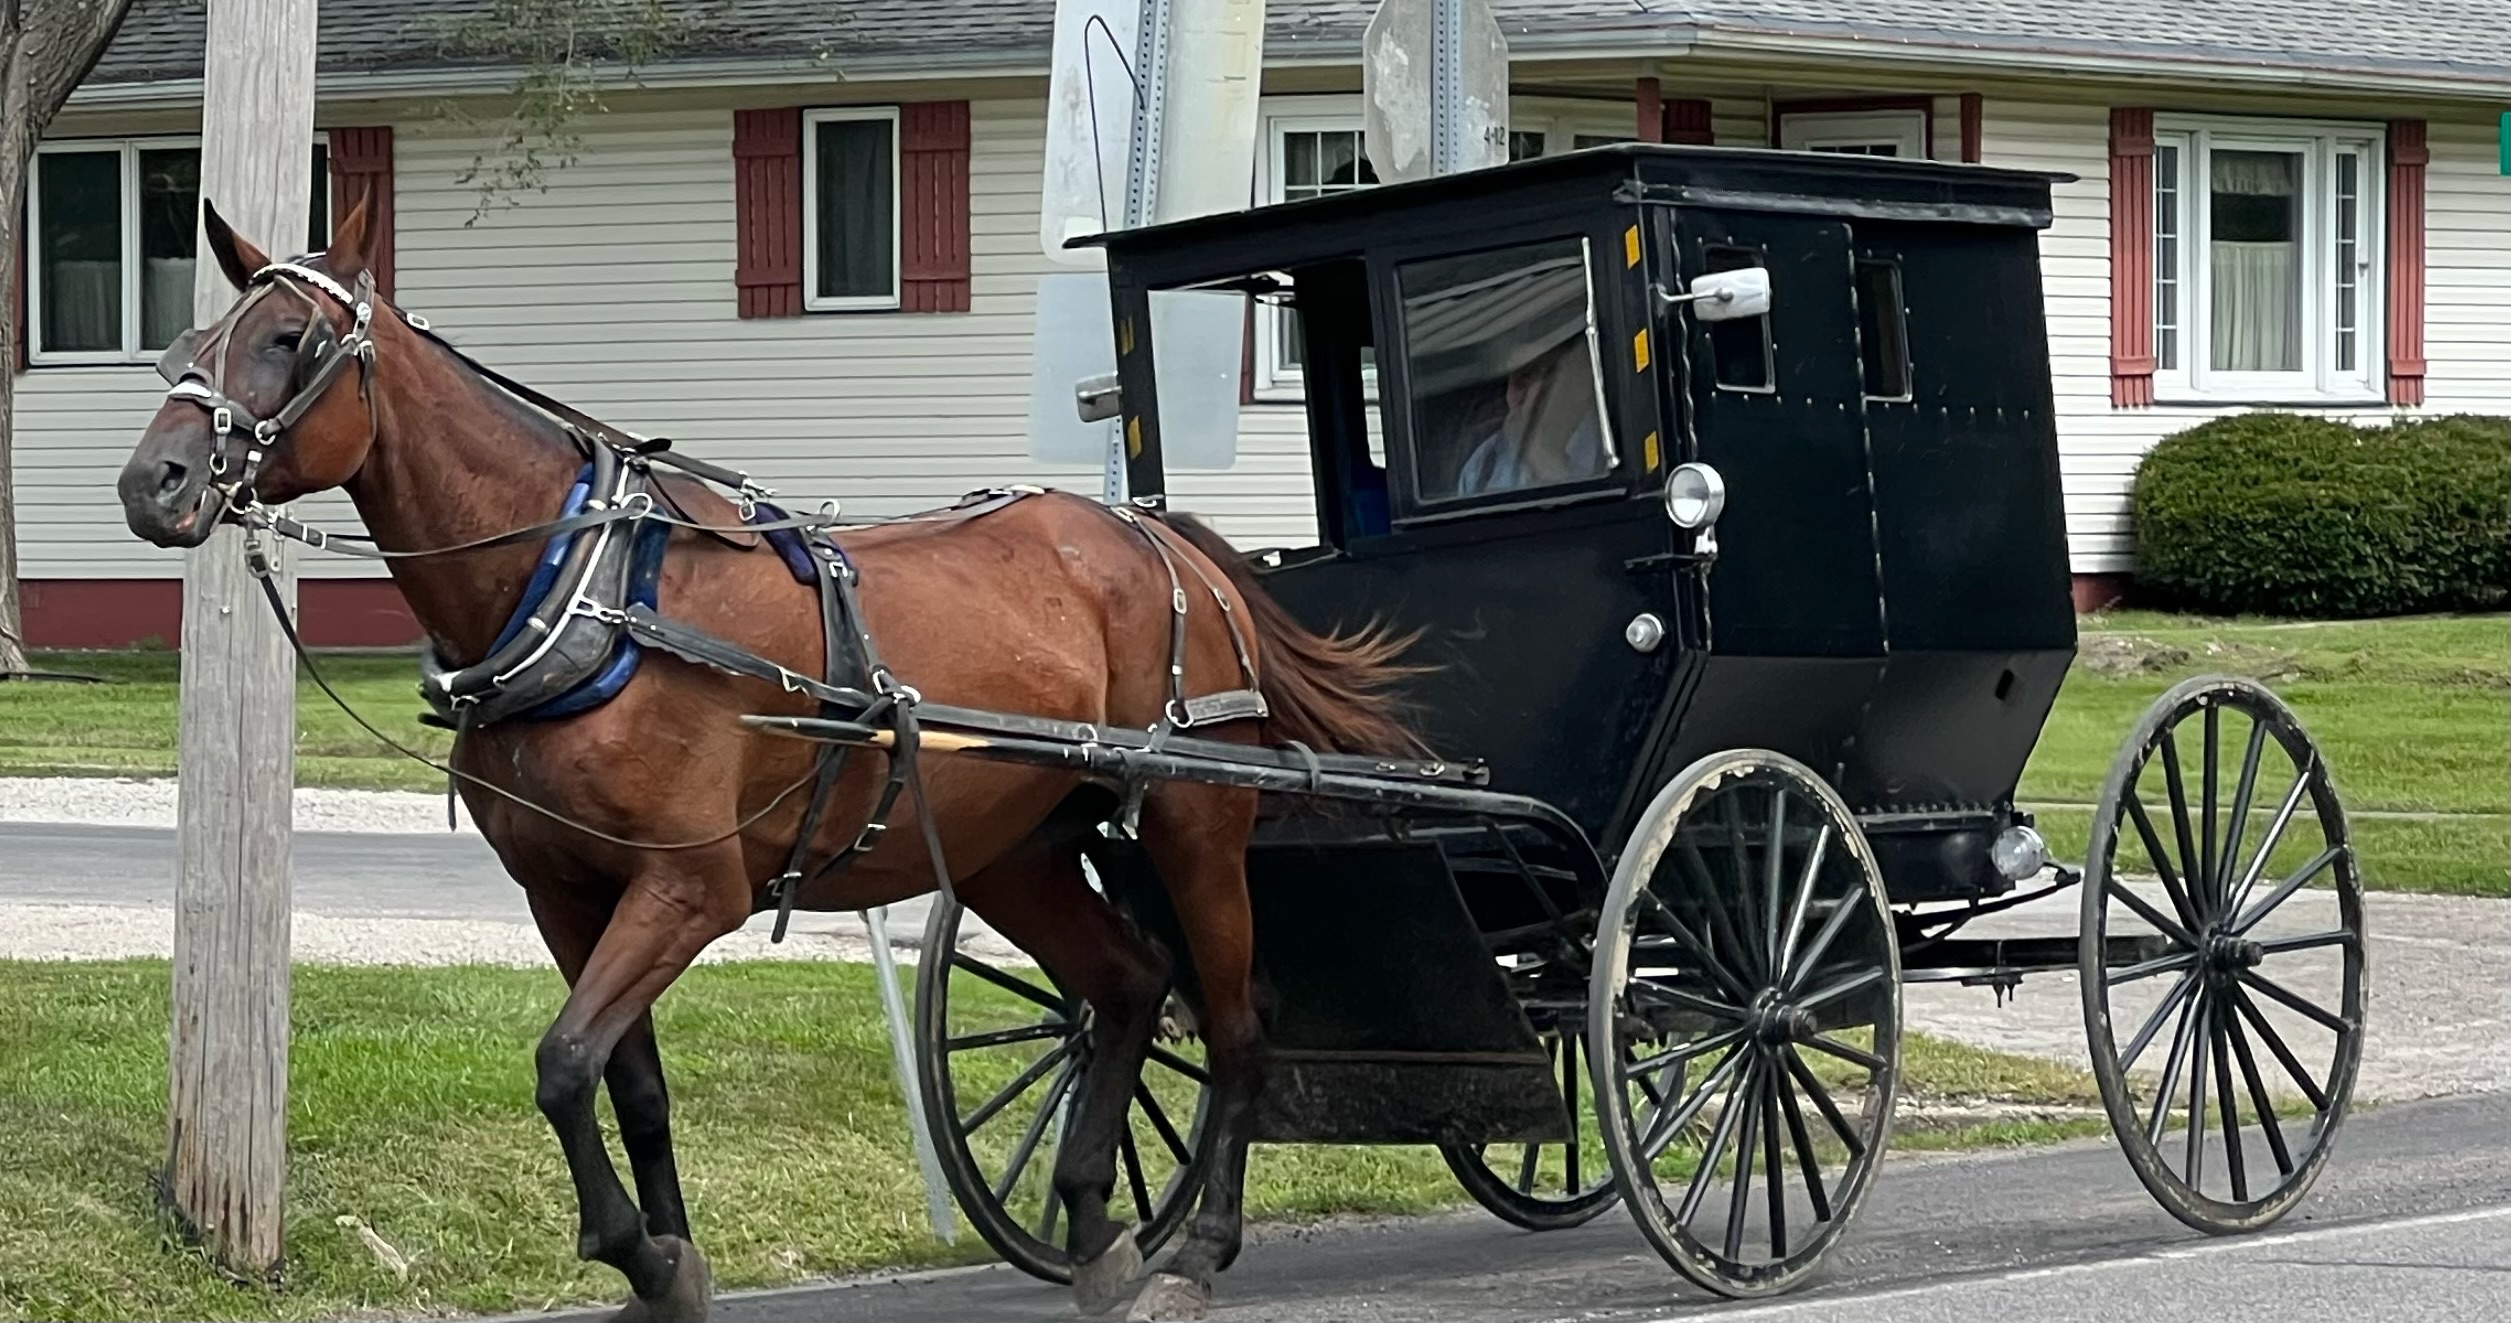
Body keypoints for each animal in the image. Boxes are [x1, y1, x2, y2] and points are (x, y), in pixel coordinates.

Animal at [118, 199, 1416, 1323]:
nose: (152, 483)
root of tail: (1162, 539)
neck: (583, 588)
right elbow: (622, 1079)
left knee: (1237, 1022)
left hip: (1198, 820)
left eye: (288, 340)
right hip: (1016, 848)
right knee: (1128, 988)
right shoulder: (565, 893)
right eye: (187, 341)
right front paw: (665, 1264)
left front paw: (637, 1250)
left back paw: (1196, 1251)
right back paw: (1095, 1229)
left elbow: (563, 1062)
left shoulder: (692, 887)